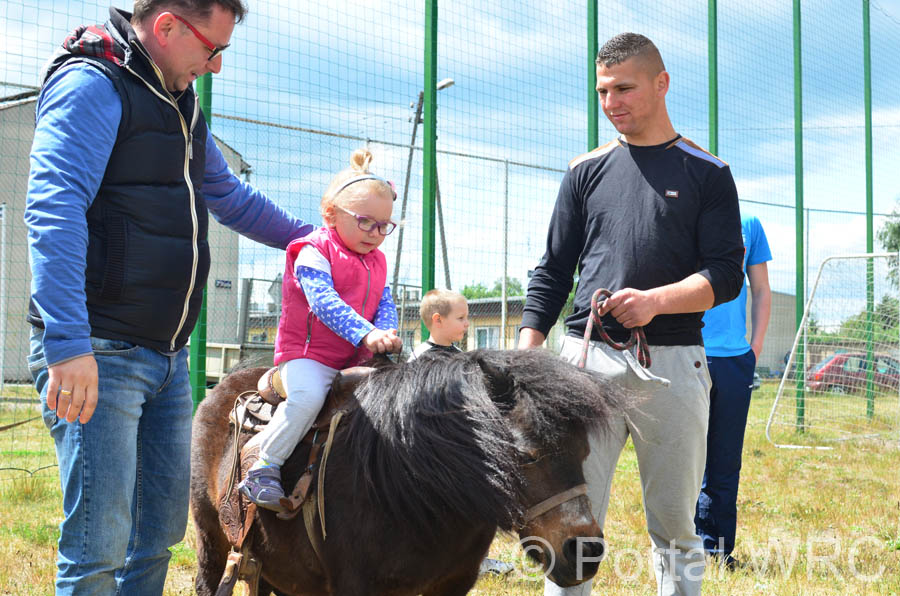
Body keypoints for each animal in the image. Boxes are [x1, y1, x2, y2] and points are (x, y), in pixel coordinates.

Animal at [190, 348, 628, 595]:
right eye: (527, 454)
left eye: (585, 451)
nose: (584, 552)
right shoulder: (357, 585)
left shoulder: (453, 584)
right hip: (212, 539)